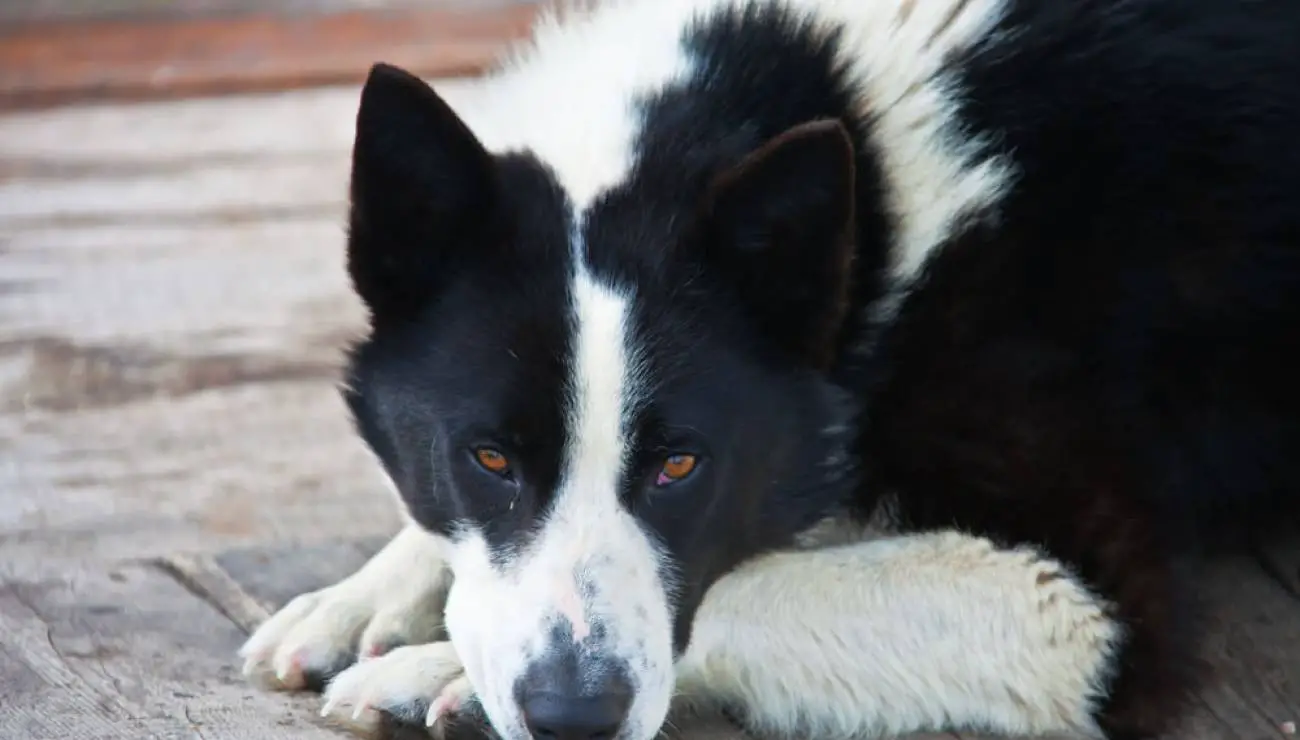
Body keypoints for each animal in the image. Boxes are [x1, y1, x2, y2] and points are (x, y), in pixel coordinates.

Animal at [236, 1, 1300, 738]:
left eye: (681, 467)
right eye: (489, 458)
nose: (574, 716)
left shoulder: (1091, 603)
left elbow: (738, 589)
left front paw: (440, 671)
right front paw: (374, 595)